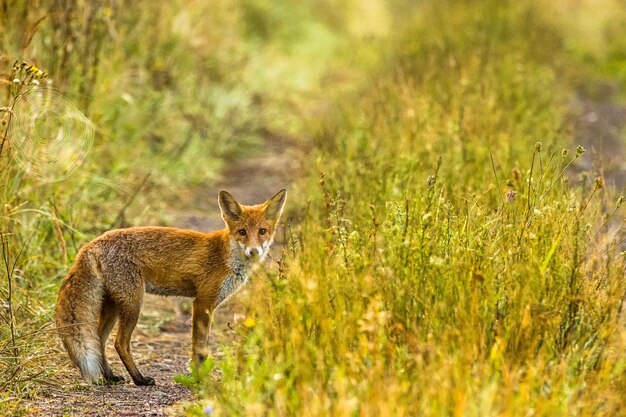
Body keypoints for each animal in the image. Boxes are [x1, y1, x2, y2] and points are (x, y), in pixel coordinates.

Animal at [54, 188, 286, 384]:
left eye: (262, 231)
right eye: (242, 232)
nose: (253, 251)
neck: (228, 256)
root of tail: (92, 243)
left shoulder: (207, 304)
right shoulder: (202, 302)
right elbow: (200, 349)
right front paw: (200, 379)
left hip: (113, 306)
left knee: (99, 341)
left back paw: (110, 377)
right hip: (133, 303)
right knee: (119, 343)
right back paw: (139, 379)